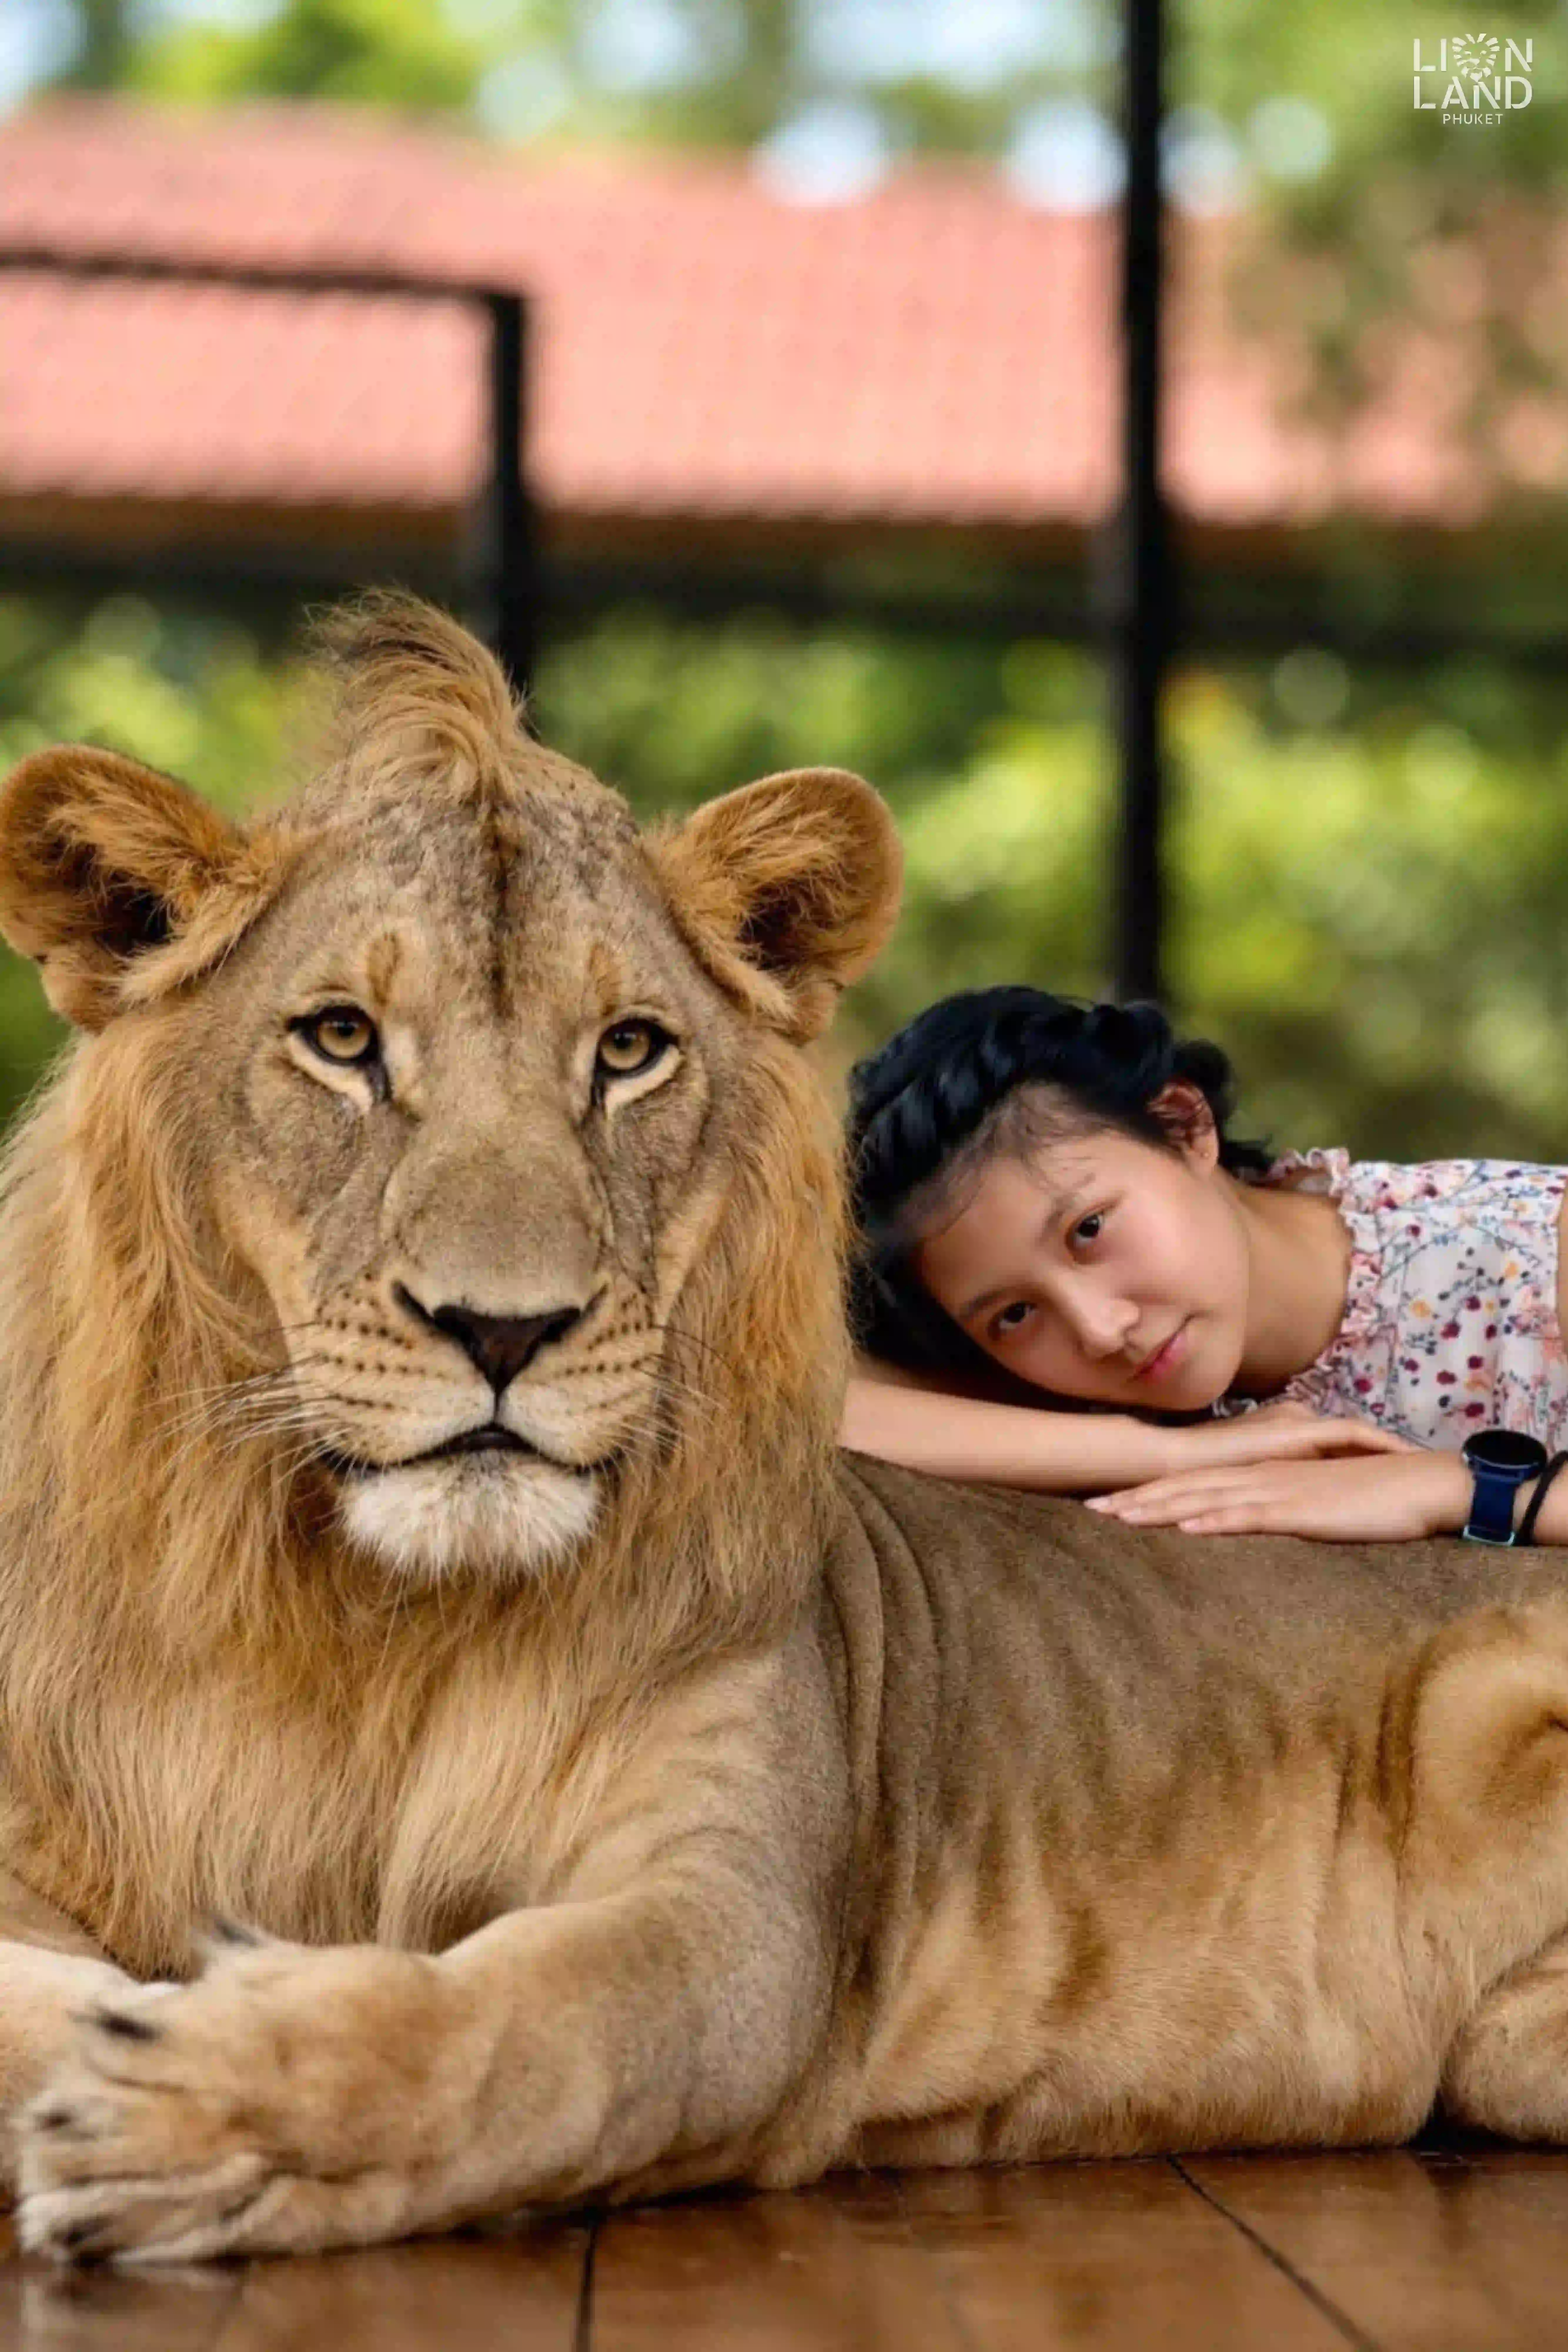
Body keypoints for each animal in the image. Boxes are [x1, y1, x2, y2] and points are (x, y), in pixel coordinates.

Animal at [0, 596, 1566, 2265]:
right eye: (343, 1038)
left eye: (628, 1051)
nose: (504, 1329)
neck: (370, 1630)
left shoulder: (730, 1922)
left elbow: (508, 2029)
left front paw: (196, 2097)